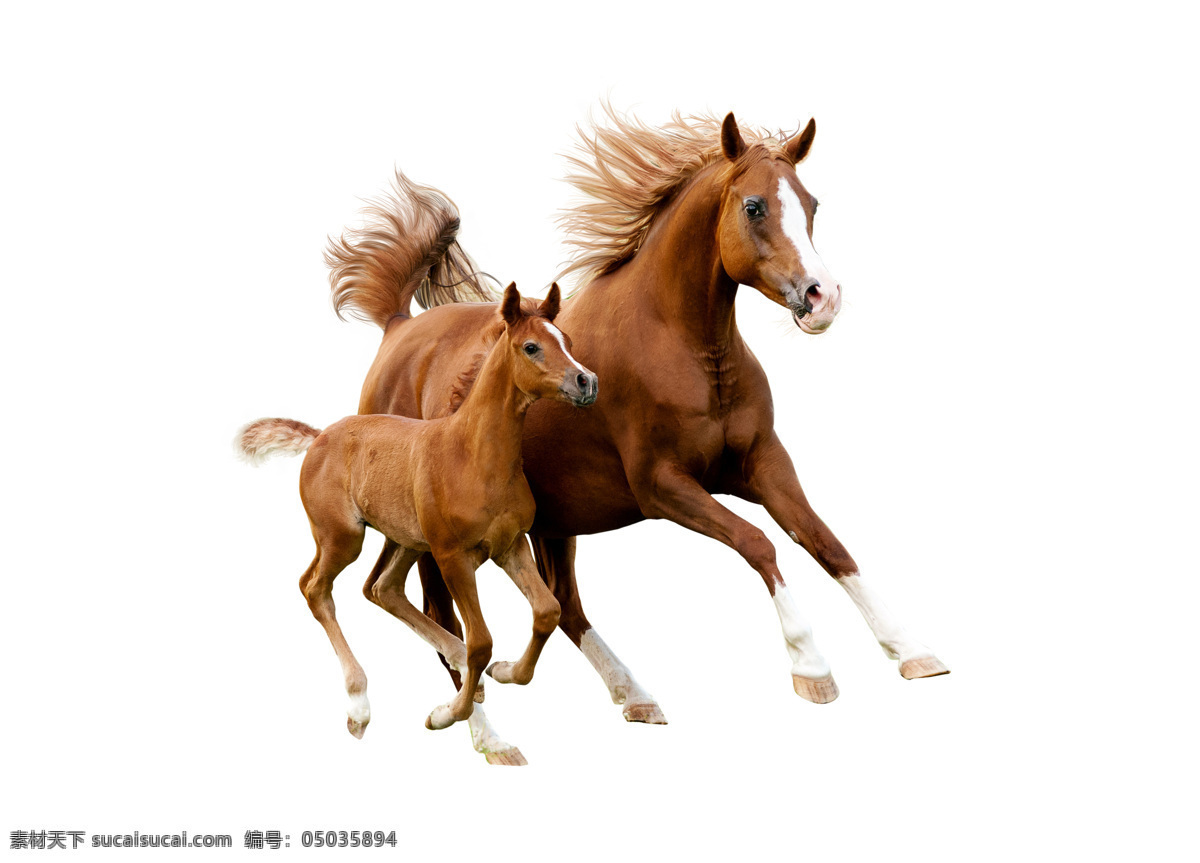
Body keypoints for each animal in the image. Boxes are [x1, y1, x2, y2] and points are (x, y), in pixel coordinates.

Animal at [238, 283, 596, 765]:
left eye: (568, 342)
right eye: (531, 346)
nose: (586, 381)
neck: (474, 456)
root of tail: (318, 438)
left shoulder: (510, 546)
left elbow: (546, 611)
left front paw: (503, 672)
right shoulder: (452, 557)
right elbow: (482, 640)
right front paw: (446, 714)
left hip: (407, 540)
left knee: (383, 588)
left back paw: (460, 670)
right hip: (344, 538)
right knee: (315, 588)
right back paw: (359, 706)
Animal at [326, 108, 949, 756]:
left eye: (812, 204)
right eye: (754, 206)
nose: (822, 297)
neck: (685, 346)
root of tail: (398, 328)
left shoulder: (763, 465)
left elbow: (827, 542)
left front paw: (912, 651)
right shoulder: (663, 486)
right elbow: (759, 543)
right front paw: (812, 668)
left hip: (553, 521)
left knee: (563, 606)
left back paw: (634, 695)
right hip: (437, 536)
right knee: (443, 618)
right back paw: (487, 735)